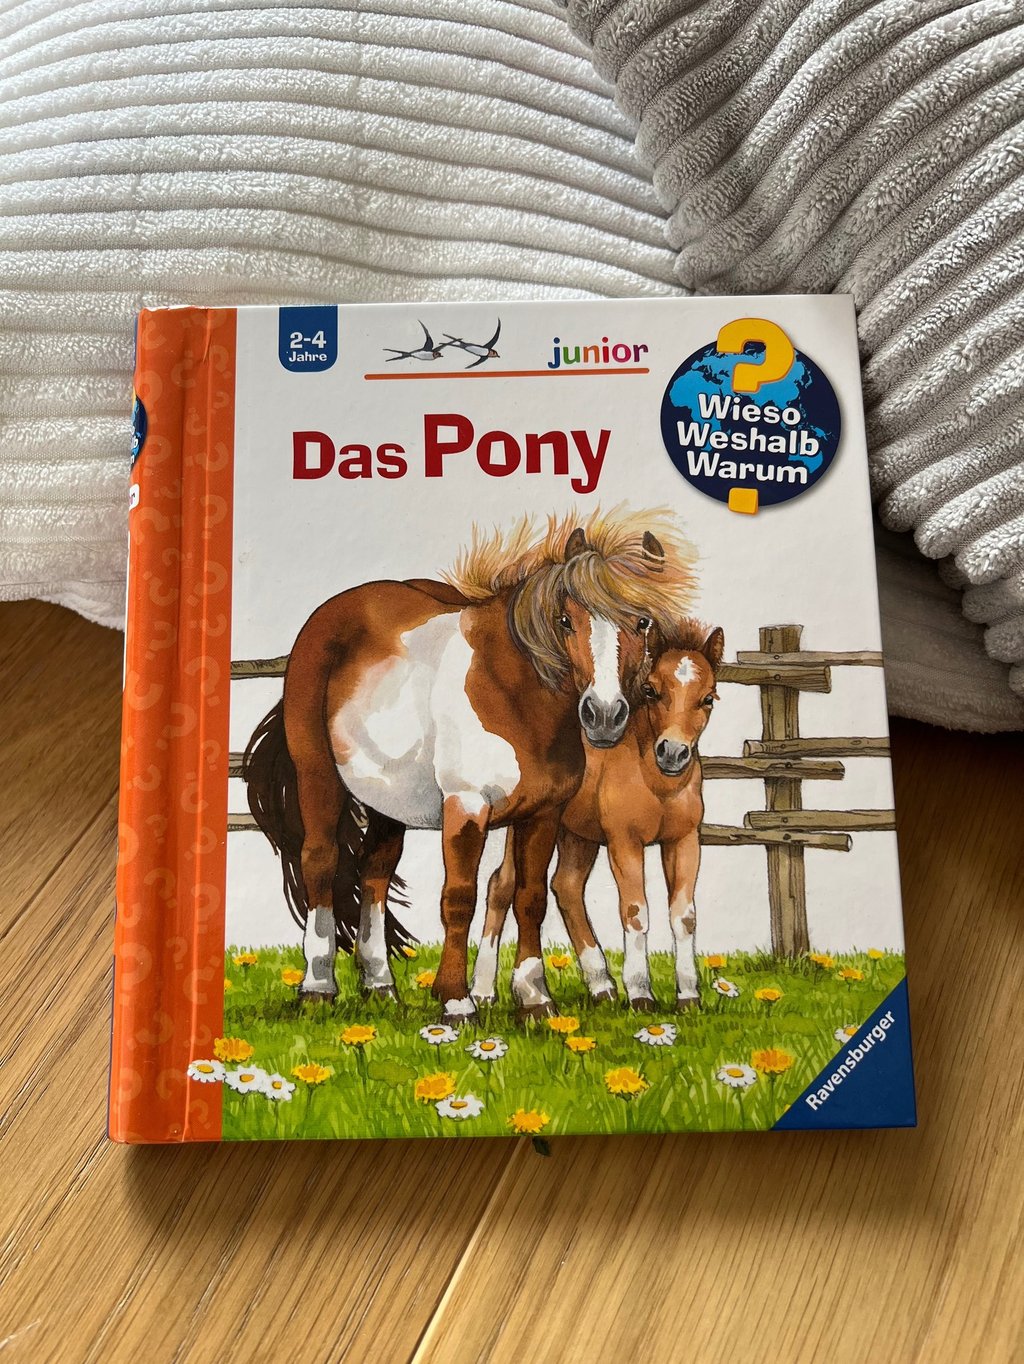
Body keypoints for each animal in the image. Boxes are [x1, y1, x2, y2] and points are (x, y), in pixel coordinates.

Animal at [471, 619, 723, 1013]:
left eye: (708, 698)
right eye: (651, 690)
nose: (672, 752)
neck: (657, 783)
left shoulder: (684, 841)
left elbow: (684, 917)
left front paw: (688, 996)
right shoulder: (624, 842)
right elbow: (635, 912)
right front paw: (640, 993)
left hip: (578, 835)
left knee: (567, 887)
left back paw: (601, 984)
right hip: (530, 827)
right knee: (502, 885)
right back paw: (483, 991)